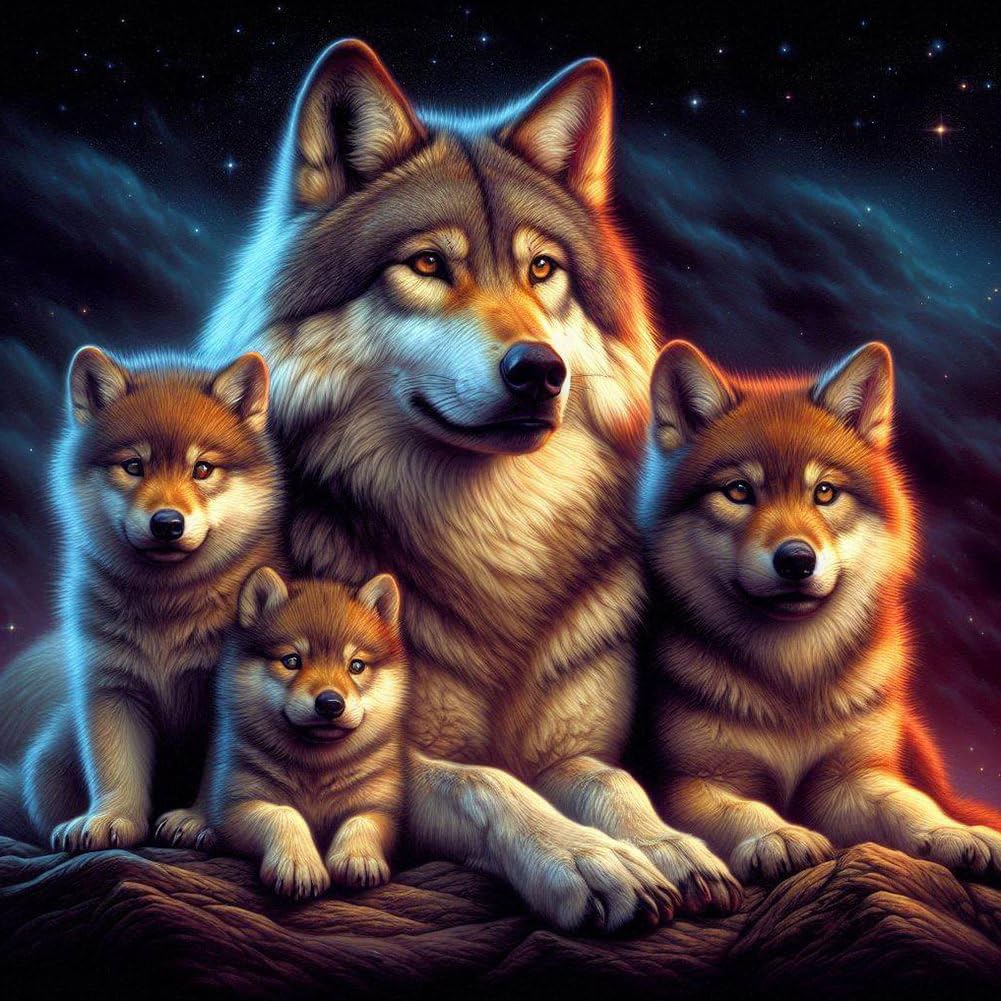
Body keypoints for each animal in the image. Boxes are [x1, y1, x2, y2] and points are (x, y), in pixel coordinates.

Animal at [0, 348, 284, 850]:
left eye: (202, 469)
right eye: (134, 466)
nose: (167, 523)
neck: (166, 609)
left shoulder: (225, 696)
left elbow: (220, 771)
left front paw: (199, 821)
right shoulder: (112, 689)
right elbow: (115, 767)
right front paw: (109, 819)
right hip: (46, 763)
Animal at [179, 568, 408, 899]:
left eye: (356, 666)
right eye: (291, 661)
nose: (330, 703)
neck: (316, 770)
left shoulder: (384, 810)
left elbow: (361, 821)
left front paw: (358, 858)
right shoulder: (237, 805)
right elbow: (283, 815)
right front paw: (299, 864)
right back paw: (191, 821)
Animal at [642, 339, 1001, 883]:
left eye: (825, 492)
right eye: (739, 491)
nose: (796, 559)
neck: (792, 677)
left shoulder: (851, 779)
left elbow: (910, 805)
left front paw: (955, 833)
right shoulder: (689, 781)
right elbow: (741, 810)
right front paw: (779, 835)